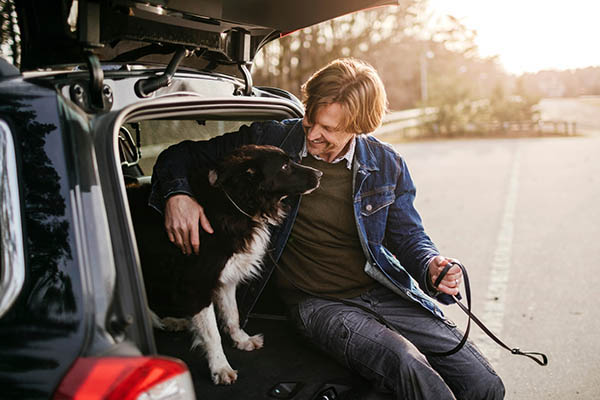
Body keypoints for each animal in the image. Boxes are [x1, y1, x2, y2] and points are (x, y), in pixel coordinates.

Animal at [128, 145, 322, 384]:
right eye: (285, 166)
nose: (320, 174)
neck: (237, 204)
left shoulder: (226, 277)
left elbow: (232, 314)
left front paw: (241, 340)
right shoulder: (197, 284)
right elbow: (212, 333)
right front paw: (220, 367)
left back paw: (169, 321)